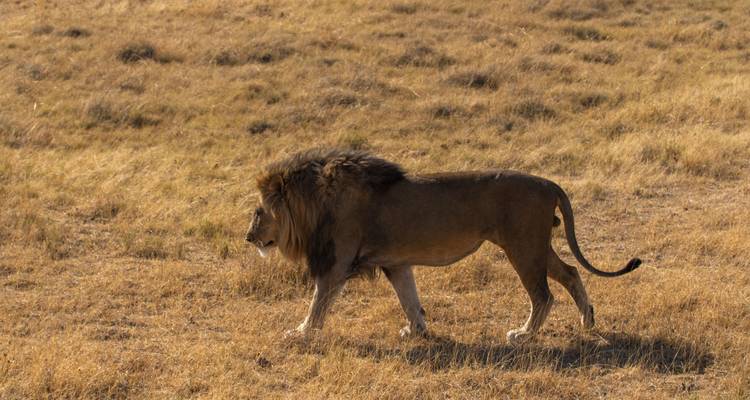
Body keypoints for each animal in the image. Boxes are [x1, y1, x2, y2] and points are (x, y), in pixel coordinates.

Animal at [245, 149, 641, 344]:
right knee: (571, 273)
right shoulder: (396, 262)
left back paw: (524, 335)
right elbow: (409, 299)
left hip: (522, 246)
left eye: (258, 212)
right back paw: (588, 322)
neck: (316, 200)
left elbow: (318, 302)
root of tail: (547, 182)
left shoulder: (337, 262)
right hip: (535, 246)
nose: (249, 238)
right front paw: (416, 331)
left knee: (543, 295)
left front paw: (301, 334)